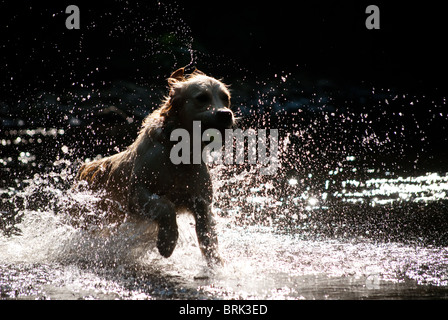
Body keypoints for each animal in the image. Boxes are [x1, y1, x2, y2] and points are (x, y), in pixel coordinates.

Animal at [73, 69, 234, 266]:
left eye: (225, 98)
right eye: (202, 97)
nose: (225, 114)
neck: (179, 152)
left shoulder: (201, 200)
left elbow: (208, 236)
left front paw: (217, 263)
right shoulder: (136, 194)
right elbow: (165, 206)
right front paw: (167, 242)